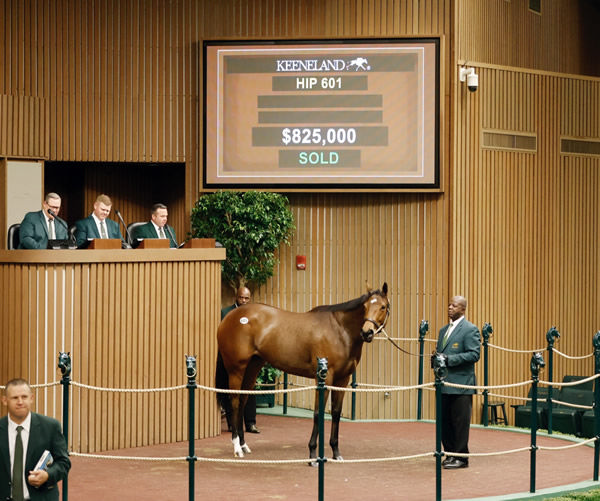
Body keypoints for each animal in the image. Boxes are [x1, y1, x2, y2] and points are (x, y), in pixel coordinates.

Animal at [216, 282, 390, 458]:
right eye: (365, 306)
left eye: (383, 306)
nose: (367, 332)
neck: (339, 330)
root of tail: (230, 316)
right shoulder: (324, 378)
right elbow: (318, 413)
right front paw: (313, 453)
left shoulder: (343, 379)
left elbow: (336, 412)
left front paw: (336, 452)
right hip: (236, 369)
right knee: (235, 402)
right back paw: (237, 447)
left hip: (252, 367)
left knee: (243, 400)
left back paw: (243, 445)